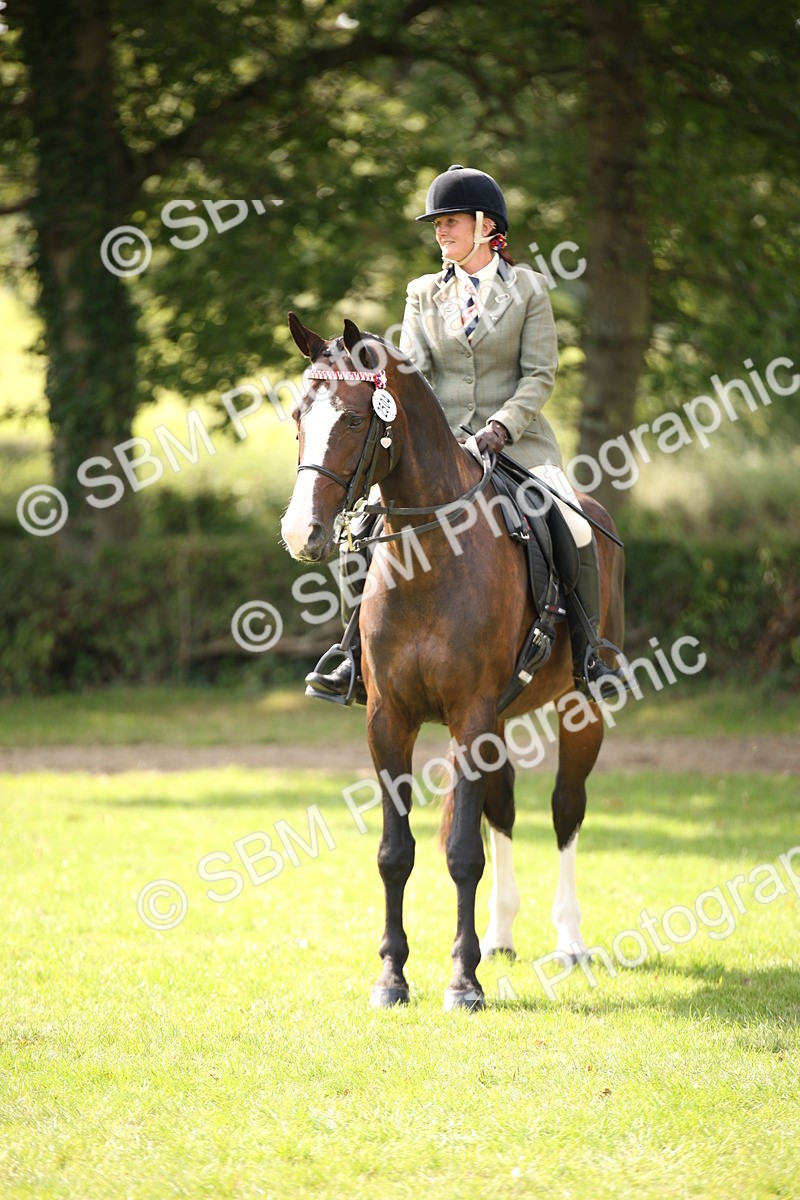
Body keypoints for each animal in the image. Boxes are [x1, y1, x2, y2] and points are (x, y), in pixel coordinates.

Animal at [280, 313, 625, 1010]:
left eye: (353, 420)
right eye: (299, 414)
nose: (302, 533)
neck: (430, 554)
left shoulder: (470, 716)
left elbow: (464, 852)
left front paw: (464, 982)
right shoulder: (389, 721)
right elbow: (395, 852)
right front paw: (392, 977)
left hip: (578, 708)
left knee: (566, 809)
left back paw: (570, 942)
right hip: (502, 719)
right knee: (505, 808)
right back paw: (500, 935)